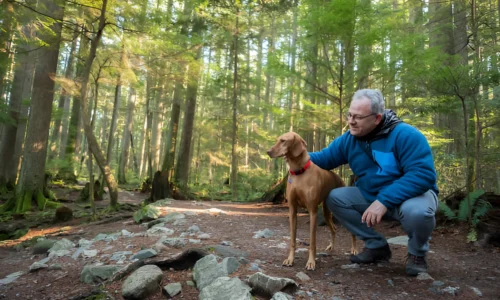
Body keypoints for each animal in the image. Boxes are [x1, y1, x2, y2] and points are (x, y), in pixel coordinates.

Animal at [268, 132, 358, 270]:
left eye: (283, 141)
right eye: (278, 140)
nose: (268, 151)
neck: (299, 172)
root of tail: (339, 178)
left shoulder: (312, 212)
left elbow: (312, 241)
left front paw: (311, 262)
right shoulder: (292, 210)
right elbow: (292, 240)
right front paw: (290, 259)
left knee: (352, 232)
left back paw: (354, 249)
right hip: (326, 212)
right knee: (334, 229)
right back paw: (331, 246)